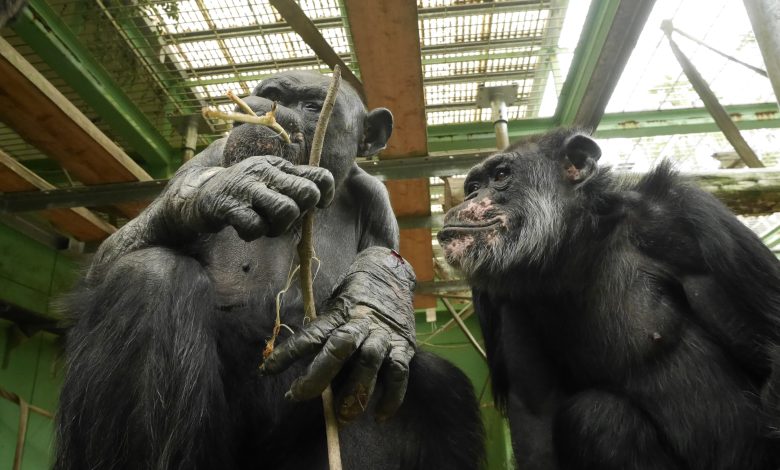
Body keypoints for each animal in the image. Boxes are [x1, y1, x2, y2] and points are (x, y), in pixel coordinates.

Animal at [53, 70, 482, 470]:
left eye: (312, 106)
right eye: (272, 94)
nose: (268, 111)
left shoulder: (377, 199)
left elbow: (385, 256)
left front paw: (376, 305)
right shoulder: (208, 156)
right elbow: (106, 259)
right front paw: (234, 185)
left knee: (439, 384)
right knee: (148, 277)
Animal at [438, 127, 780, 470]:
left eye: (500, 175)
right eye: (473, 187)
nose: (470, 198)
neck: (572, 248)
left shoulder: (687, 216)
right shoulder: (499, 301)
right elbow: (536, 415)